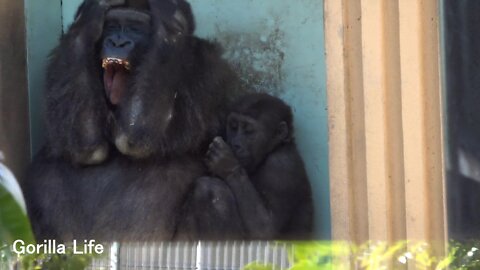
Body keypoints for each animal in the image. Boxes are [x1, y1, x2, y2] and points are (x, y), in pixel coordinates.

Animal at [23, 0, 237, 240]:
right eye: (111, 26)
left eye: (135, 28)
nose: (117, 42)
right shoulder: (63, 56)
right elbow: (86, 148)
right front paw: (86, 20)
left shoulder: (206, 67)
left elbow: (138, 136)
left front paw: (173, 23)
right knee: (45, 178)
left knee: (213, 195)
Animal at [178, 93, 314, 240]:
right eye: (233, 127)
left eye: (249, 130)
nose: (236, 144)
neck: (272, 150)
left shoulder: (282, 166)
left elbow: (266, 228)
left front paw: (227, 165)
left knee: (209, 189)